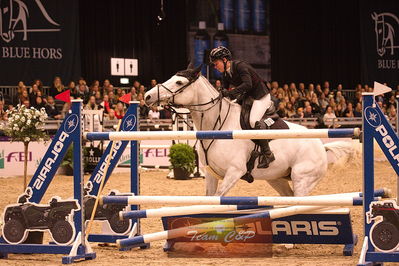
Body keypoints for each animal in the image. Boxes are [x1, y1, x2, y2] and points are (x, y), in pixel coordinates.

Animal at [145, 65, 354, 196]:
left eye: (179, 83)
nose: (147, 96)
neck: (216, 125)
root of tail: (321, 146)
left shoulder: (234, 172)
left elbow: (217, 199)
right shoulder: (211, 174)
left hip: (303, 178)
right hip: (277, 178)